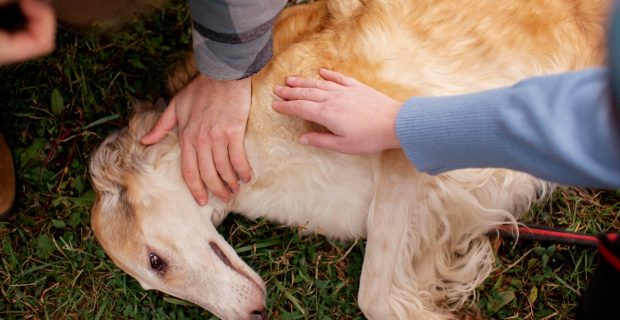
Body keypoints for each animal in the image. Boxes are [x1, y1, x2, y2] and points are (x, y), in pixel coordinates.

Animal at [89, 0, 608, 318]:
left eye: (155, 261)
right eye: (152, 283)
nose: (255, 313)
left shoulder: (401, 127)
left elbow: (372, 296)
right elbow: (399, 279)